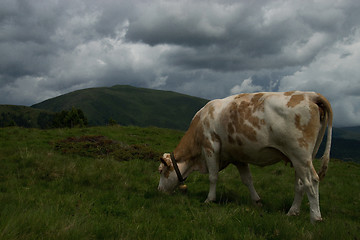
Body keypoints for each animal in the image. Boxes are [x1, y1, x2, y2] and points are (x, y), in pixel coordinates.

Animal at [158, 91, 332, 222]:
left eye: (161, 170)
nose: (159, 190)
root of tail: (310, 95)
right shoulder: (238, 157)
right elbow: (247, 180)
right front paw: (256, 201)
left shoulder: (210, 146)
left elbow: (213, 177)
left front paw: (209, 199)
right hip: (301, 158)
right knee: (300, 184)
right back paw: (292, 212)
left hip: (300, 154)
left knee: (311, 181)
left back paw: (315, 217)